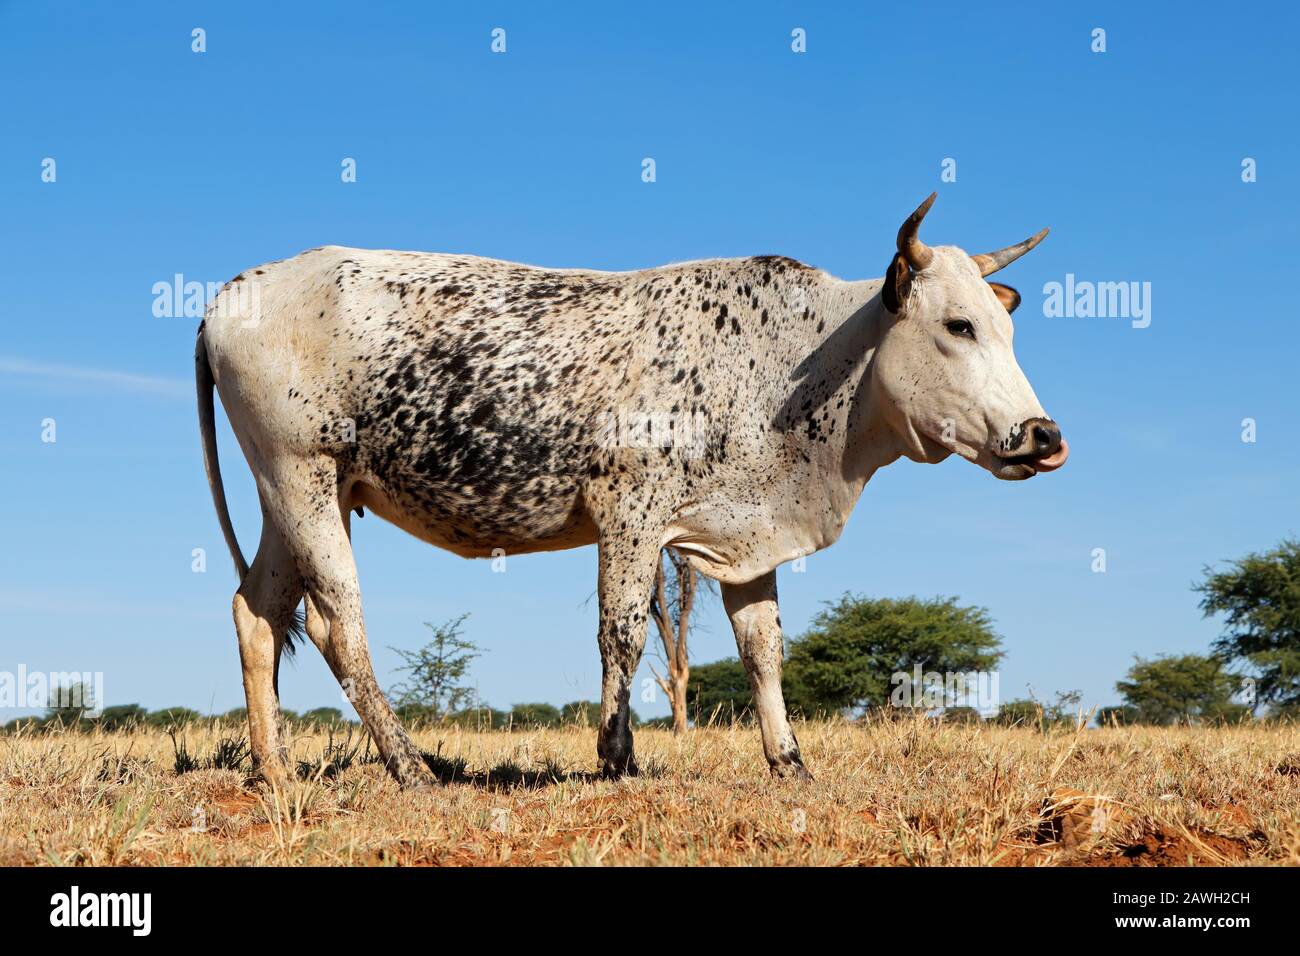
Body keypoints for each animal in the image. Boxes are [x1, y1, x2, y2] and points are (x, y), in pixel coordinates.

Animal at [195, 193, 1067, 788]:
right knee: (338, 622)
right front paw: (617, 757)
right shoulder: (631, 516)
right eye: (958, 326)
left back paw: (273, 770)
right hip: (302, 477)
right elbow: (621, 637)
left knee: (257, 611)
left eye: (1005, 326)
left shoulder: (745, 535)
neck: (804, 362)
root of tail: (236, 290)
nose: (1042, 435)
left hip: (298, 495)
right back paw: (410, 767)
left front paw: (789, 761)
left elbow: (764, 650)